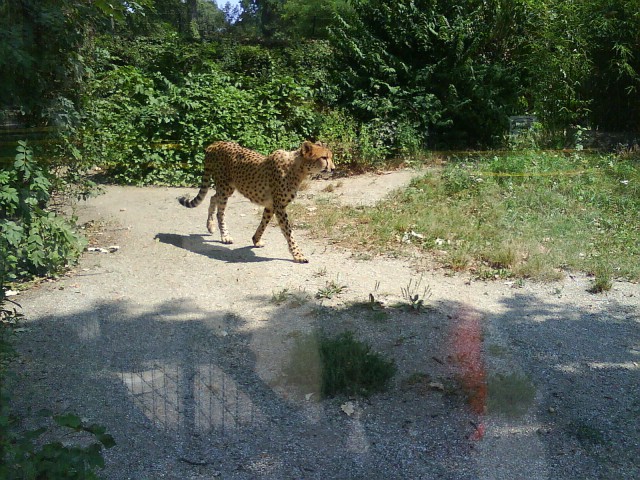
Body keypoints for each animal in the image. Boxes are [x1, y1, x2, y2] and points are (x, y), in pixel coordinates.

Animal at [176, 141, 332, 262]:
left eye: (331, 157)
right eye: (324, 157)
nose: (333, 168)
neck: (298, 169)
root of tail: (215, 144)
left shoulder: (271, 205)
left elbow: (264, 223)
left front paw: (256, 240)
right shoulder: (280, 207)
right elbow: (289, 232)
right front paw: (298, 255)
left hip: (227, 187)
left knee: (213, 197)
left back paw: (210, 226)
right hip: (225, 187)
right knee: (220, 211)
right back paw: (225, 236)